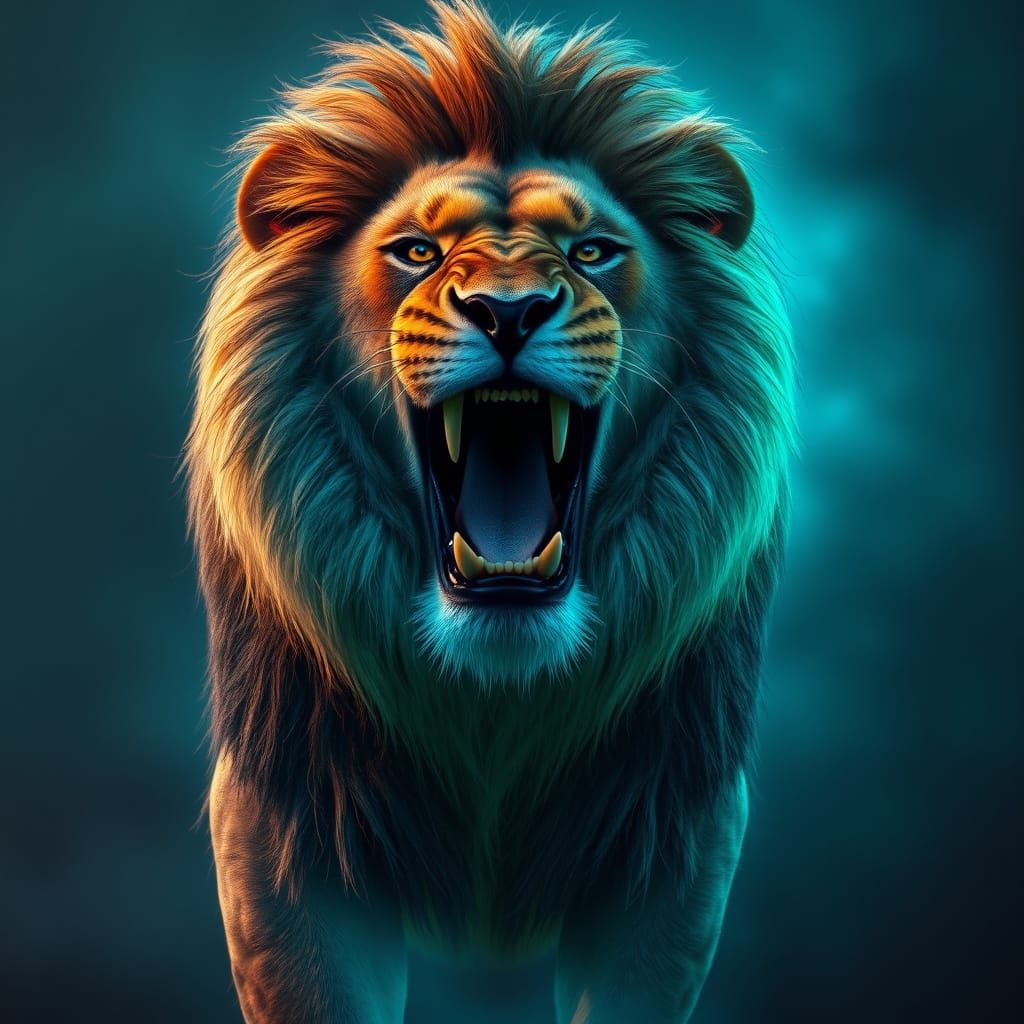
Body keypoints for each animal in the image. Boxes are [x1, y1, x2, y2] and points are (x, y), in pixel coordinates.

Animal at [187, 2, 795, 1021]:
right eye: (417, 252)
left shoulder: (676, 831)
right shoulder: (283, 822)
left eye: (592, 251)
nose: (508, 312)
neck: (493, 704)